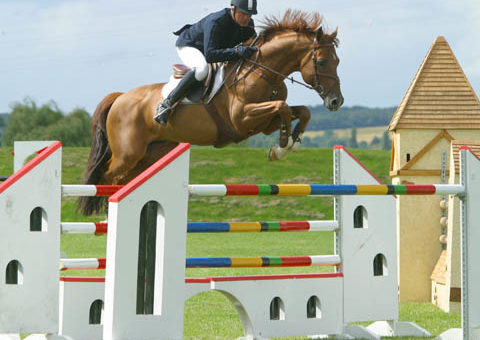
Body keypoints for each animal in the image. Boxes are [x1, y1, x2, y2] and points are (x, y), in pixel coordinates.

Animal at [78, 10, 342, 215]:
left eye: (337, 61)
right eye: (321, 62)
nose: (336, 101)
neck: (264, 72)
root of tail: (120, 97)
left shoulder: (263, 123)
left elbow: (301, 111)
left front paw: (289, 143)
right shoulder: (242, 119)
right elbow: (283, 108)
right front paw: (283, 145)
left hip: (150, 154)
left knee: (123, 180)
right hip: (127, 154)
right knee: (108, 177)